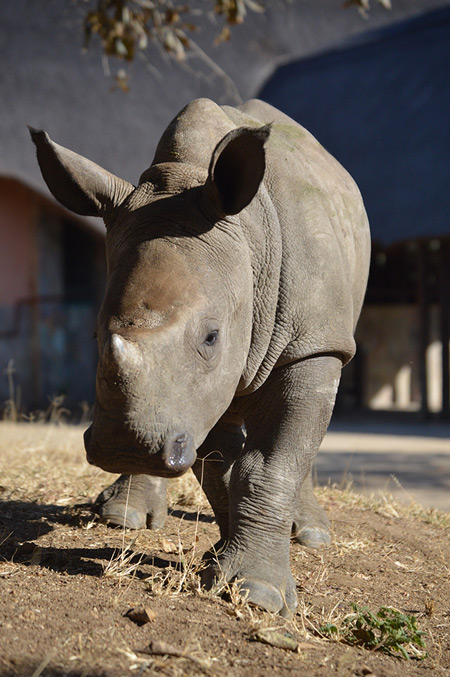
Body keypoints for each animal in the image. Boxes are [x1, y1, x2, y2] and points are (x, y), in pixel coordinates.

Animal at [30, 97, 370, 616]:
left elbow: (272, 461)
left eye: (211, 337)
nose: (122, 444)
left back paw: (310, 535)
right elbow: (216, 464)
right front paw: (222, 560)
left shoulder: (307, 343)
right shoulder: (210, 383)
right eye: (91, 334)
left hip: (332, 318)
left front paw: (258, 595)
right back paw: (124, 515)